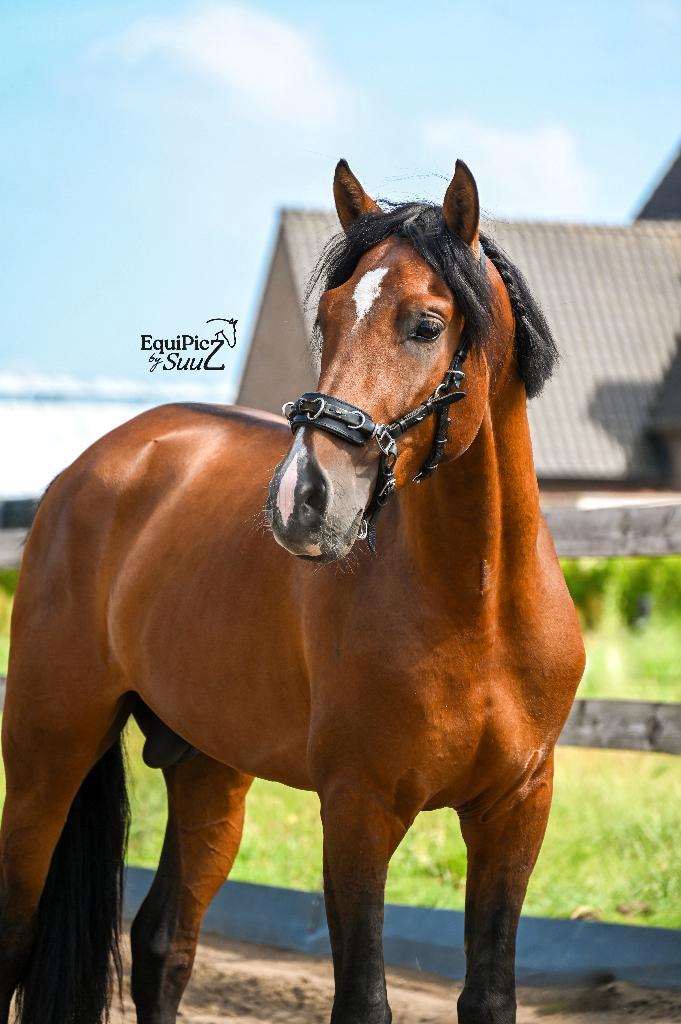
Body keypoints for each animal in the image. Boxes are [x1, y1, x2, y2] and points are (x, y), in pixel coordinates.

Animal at [0, 158, 585, 1024]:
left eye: (426, 324)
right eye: (331, 315)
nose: (302, 499)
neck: (478, 608)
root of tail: (93, 467)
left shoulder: (515, 810)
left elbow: (488, 996)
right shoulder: (356, 810)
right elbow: (363, 1000)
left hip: (208, 770)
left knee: (163, 944)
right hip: (47, 752)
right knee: (16, 933)